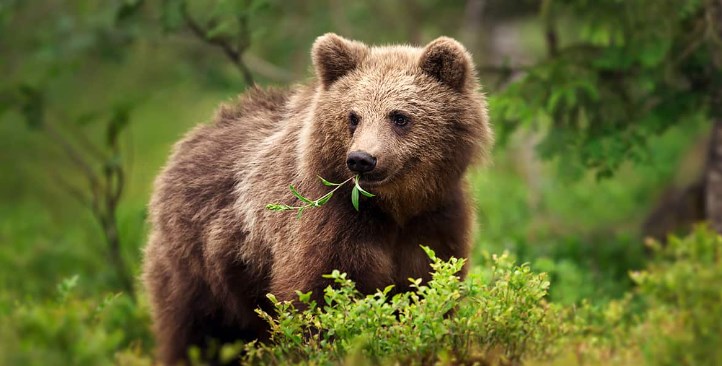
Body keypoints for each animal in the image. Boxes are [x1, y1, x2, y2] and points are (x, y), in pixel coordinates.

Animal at [142, 33, 490, 364]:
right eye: (353, 116)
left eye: (399, 116)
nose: (362, 159)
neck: (393, 206)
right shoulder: (330, 223)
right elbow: (319, 299)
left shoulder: (434, 221)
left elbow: (428, 292)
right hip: (199, 264)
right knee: (193, 331)